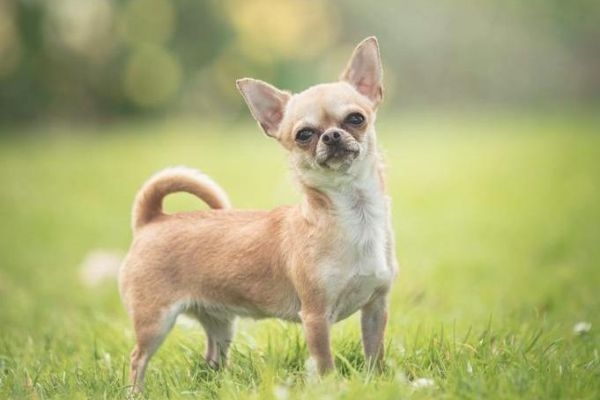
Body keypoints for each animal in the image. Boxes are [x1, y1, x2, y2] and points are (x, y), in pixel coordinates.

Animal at [118, 37, 398, 390]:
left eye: (356, 118)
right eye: (304, 135)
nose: (331, 135)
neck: (353, 213)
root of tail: (152, 219)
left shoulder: (376, 308)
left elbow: (375, 353)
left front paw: (377, 383)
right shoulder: (316, 317)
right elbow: (324, 364)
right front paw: (330, 388)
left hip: (219, 322)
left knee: (211, 357)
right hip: (154, 321)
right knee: (136, 358)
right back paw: (135, 393)